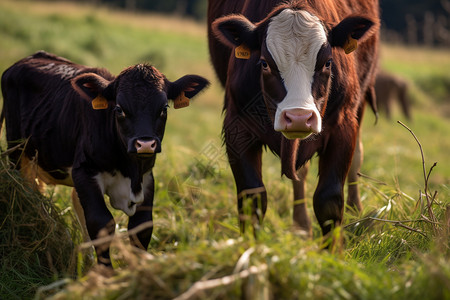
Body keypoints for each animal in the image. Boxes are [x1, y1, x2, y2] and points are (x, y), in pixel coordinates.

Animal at [209, 1, 378, 238]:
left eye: (328, 63)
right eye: (264, 63)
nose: (299, 118)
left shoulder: (343, 126)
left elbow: (329, 200)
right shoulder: (237, 127)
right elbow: (252, 197)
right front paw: (248, 245)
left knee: (357, 159)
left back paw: (356, 213)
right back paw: (301, 226)